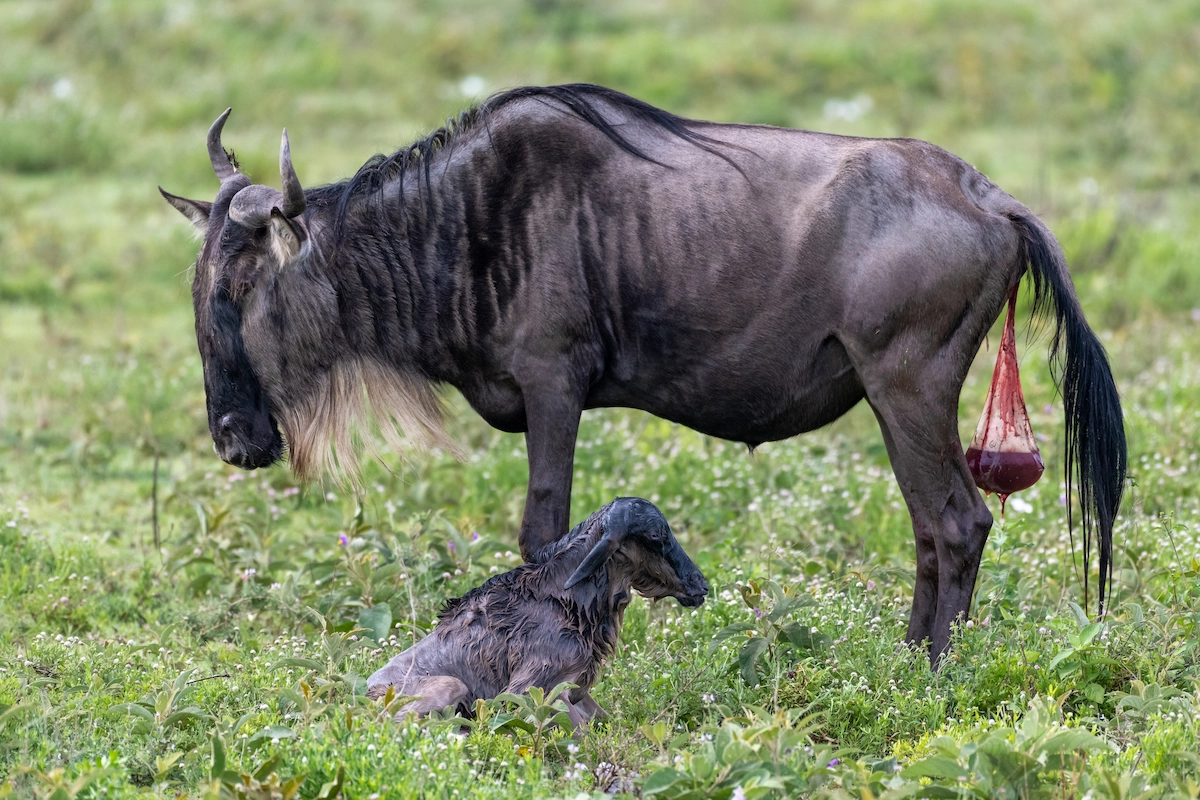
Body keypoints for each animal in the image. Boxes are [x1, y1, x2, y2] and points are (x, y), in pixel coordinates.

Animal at [364, 494, 700, 724]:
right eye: (657, 536)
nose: (700, 583)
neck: (566, 603)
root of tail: (363, 690)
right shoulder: (528, 691)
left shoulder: (578, 690)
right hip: (449, 686)